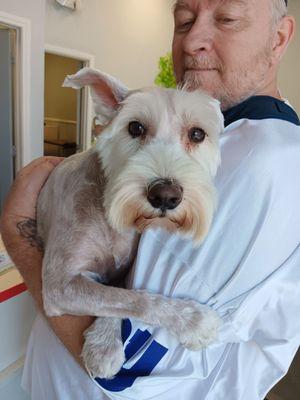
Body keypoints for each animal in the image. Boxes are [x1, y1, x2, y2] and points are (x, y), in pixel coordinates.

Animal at [37, 68, 224, 378]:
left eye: (197, 134)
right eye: (135, 128)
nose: (165, 196)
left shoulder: (122, 268)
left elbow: (120, 294)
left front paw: (102, 342)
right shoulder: (59, 283)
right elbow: (130, 299)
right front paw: (194, 320)